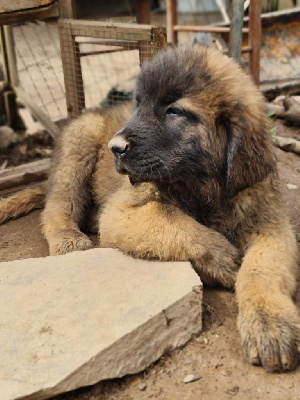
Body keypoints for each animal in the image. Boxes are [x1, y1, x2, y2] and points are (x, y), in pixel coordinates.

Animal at [1, 46, 298, 372]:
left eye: (173, 111)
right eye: (139, 104)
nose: (115, 147)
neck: (202, 187)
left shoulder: (270, 225)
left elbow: (262, 270)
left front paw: (270, 322)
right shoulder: (122, 211)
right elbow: (173, 221)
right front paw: (222, 259)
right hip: (78, 147)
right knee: (57, 205)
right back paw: (67, 235)